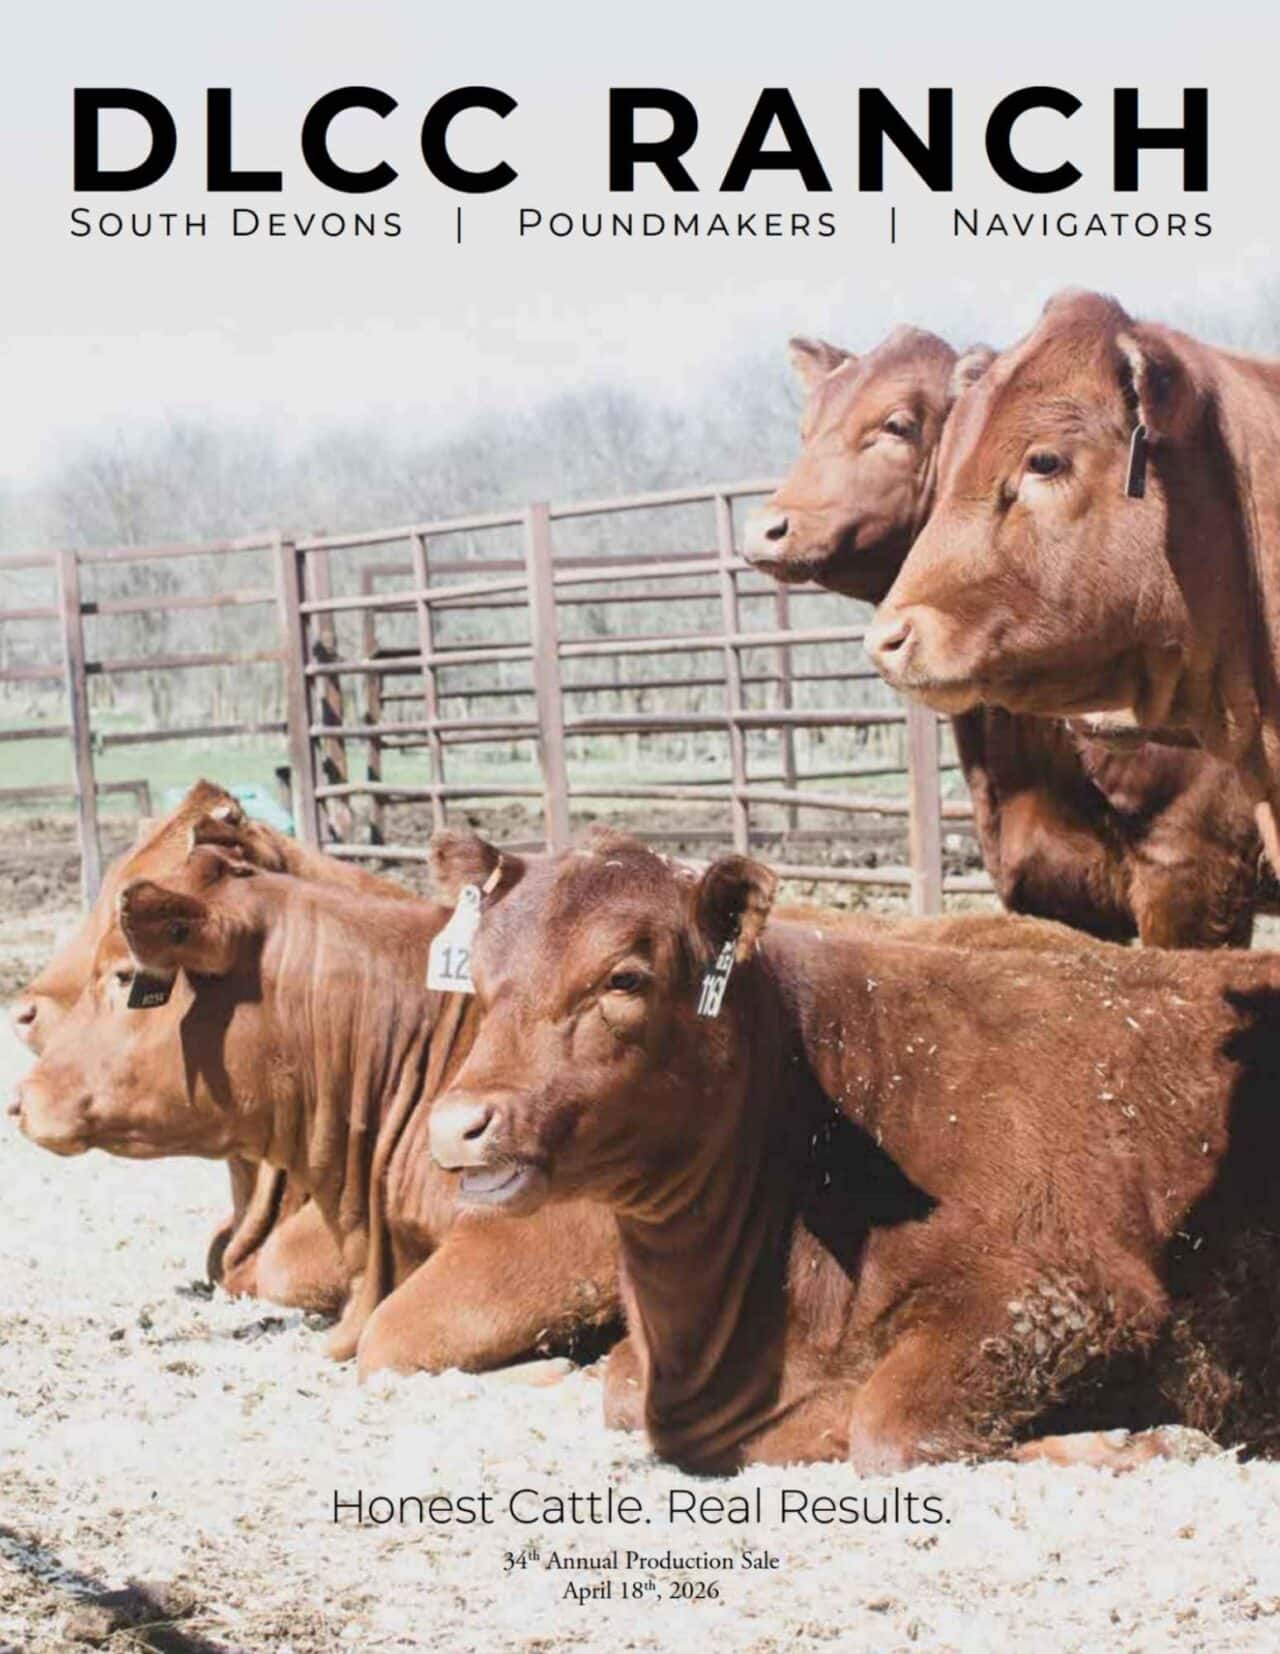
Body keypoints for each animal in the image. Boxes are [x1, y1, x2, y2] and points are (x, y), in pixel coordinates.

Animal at [427, 829, 1280, 1474]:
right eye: (478, 975)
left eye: (624, 979)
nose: (457, 1123)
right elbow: (617, 1388)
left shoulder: (1066, 1294)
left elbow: (889, 1425)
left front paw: (1141, 1442)